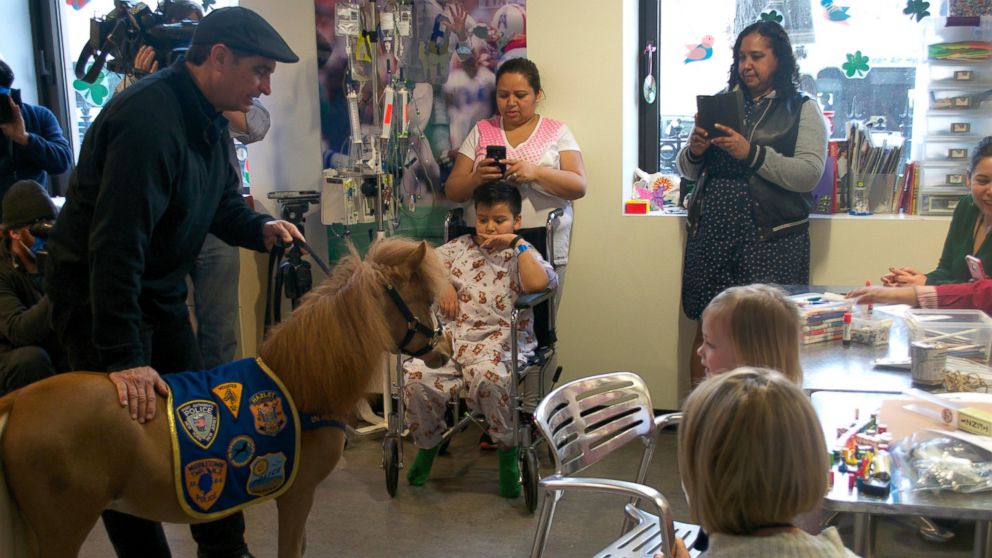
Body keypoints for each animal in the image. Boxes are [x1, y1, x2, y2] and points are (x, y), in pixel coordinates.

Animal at [0, 238, 454, 556]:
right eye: (422, 299)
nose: (445, 349)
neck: (300, 382)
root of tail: (18, 401)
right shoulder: (296, 495)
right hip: (63, 531)